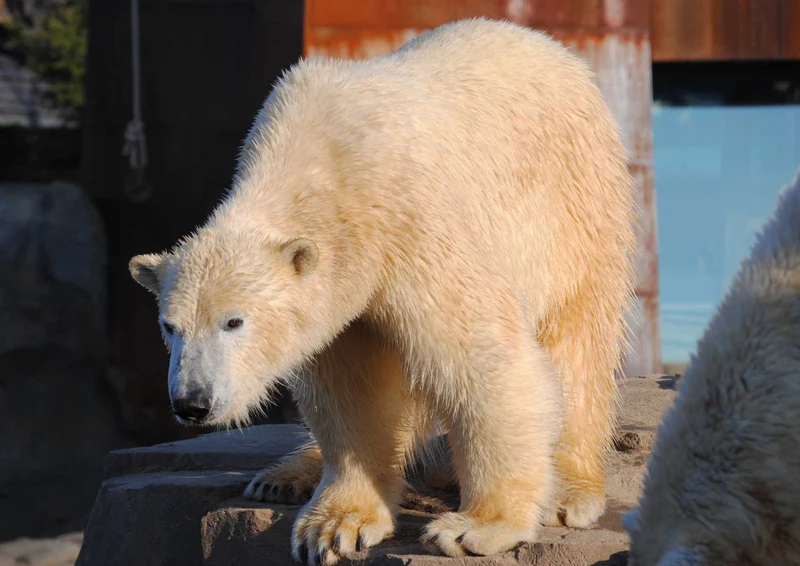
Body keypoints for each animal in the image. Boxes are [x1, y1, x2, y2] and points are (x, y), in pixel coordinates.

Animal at [129, 17, 637, 563]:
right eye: (169, 327)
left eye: (234, 321)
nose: (192, 402)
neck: (321, 165)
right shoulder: (343, 283)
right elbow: (352, 387)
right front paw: (335, 525)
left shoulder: (412, 223)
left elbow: (481, 359)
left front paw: (476, 528)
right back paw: (284, 474)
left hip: (575, 209)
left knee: (576, 344)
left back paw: (568, 492)